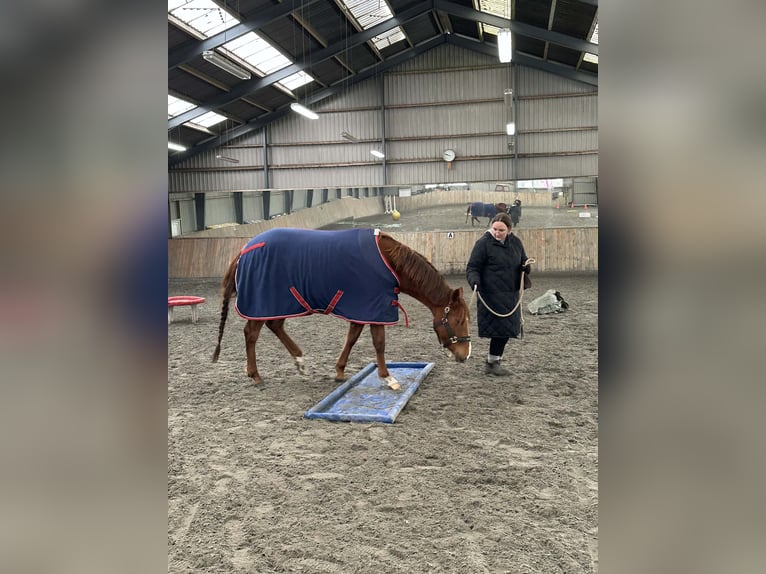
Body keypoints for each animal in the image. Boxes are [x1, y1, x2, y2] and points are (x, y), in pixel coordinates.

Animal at [212, 227, 471, 390]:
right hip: (262, 302)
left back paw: (299, 361)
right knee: (251, 334)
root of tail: (245, 249)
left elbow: (352, 337)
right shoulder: (374, 307)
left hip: (279, 303)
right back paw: (255, 375)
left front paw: (339, 371)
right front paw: (388, 378)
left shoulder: (363, 308)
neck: (388, 262)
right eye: (459, 321)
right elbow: (379, 343)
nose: (465, 355)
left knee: (275, 325)